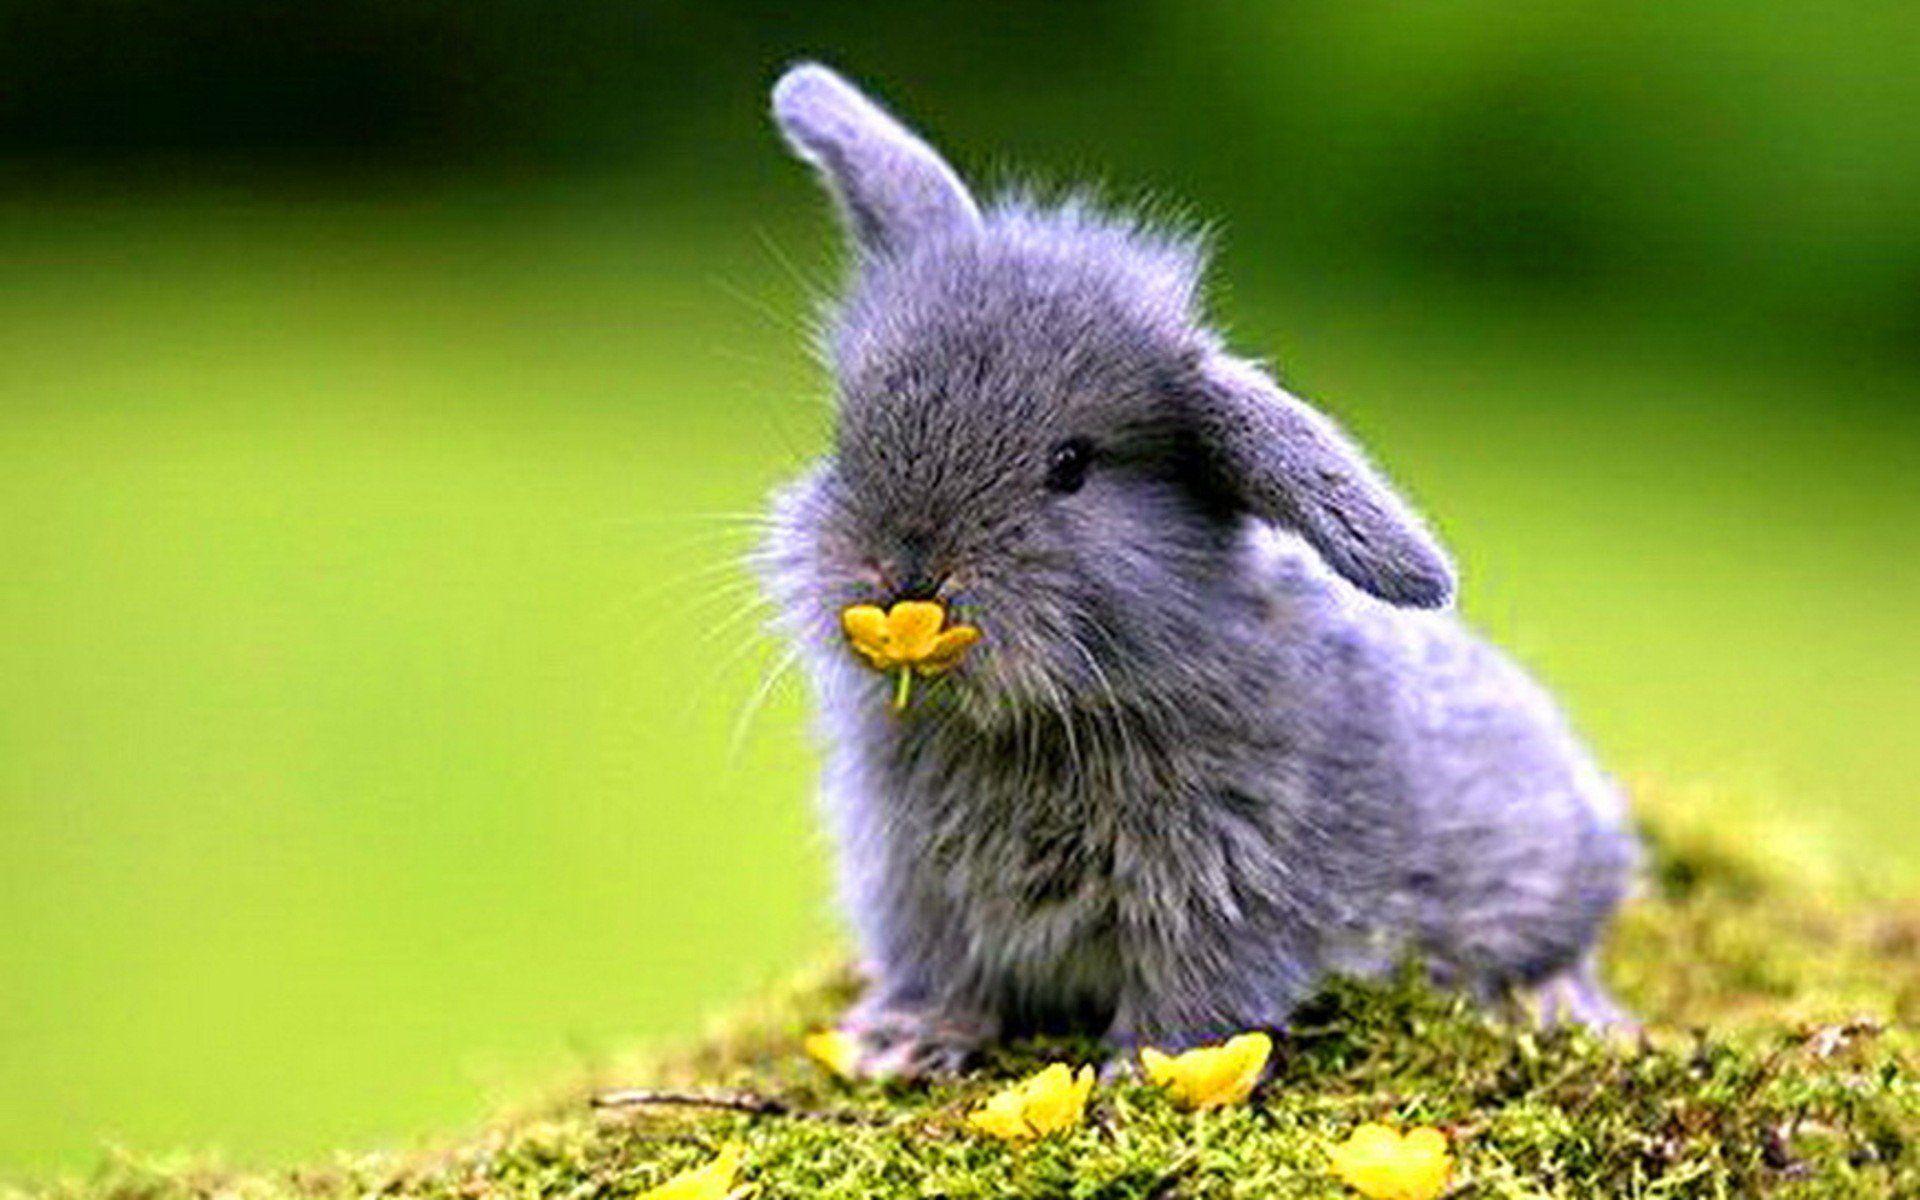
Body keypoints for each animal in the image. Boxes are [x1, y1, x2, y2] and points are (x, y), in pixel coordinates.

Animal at [755, 63, 1638, 1078]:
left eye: (1070, 466)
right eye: (848, 434)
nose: (903, 573)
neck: (1042, 720)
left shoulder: (1229, 889)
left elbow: (1197, 995)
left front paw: (1145, 1073)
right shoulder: (916, 887)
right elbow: (944, 971)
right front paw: (896, 1042)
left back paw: (1563, 1004)